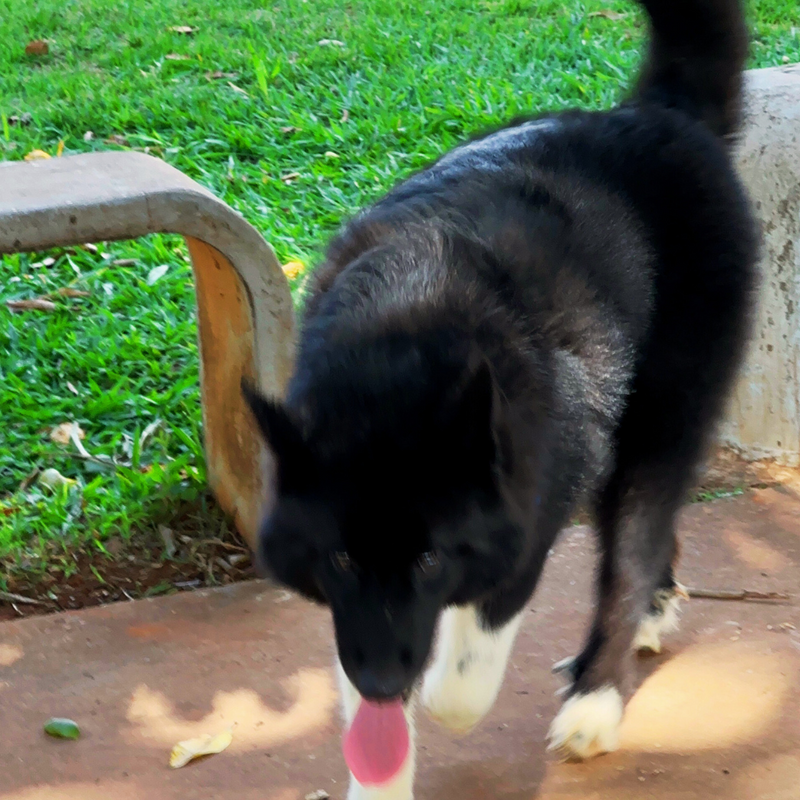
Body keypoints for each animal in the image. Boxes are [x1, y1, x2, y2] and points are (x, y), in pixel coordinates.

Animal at [244, 1, 756, 792]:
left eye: (429, 562)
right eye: (339, 562)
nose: (383, 684)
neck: (403, 332)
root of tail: (659, 112)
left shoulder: (532, 509)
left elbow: (464, 674)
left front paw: (444, 686)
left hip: (661, 418)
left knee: (633, 545)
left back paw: (597, 693)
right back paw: (652, 611)